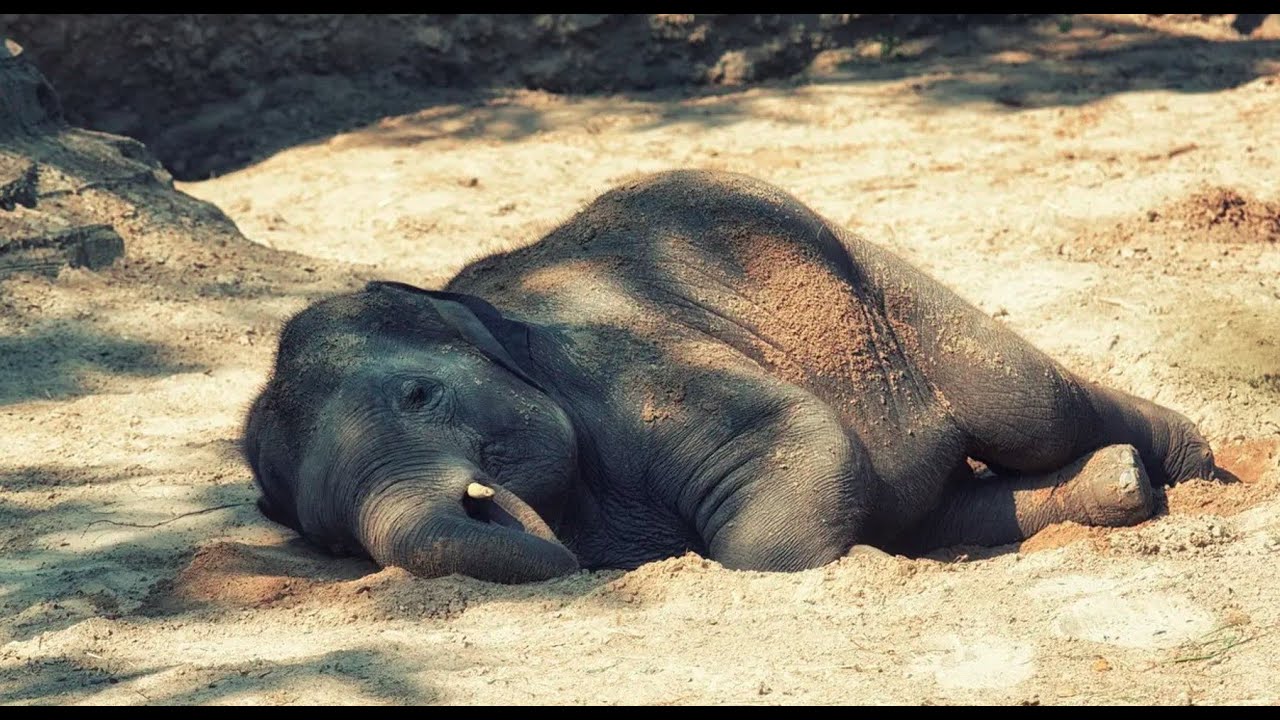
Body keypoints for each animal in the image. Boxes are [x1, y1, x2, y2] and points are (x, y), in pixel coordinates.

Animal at [242, 170, 1216, 583]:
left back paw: (1193, 468)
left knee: (1031, 406)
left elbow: (794, 443)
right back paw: (1118, 487)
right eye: (329, 539)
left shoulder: (629, 366)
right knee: (937, 502)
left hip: (875, 275)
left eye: (418, 394)